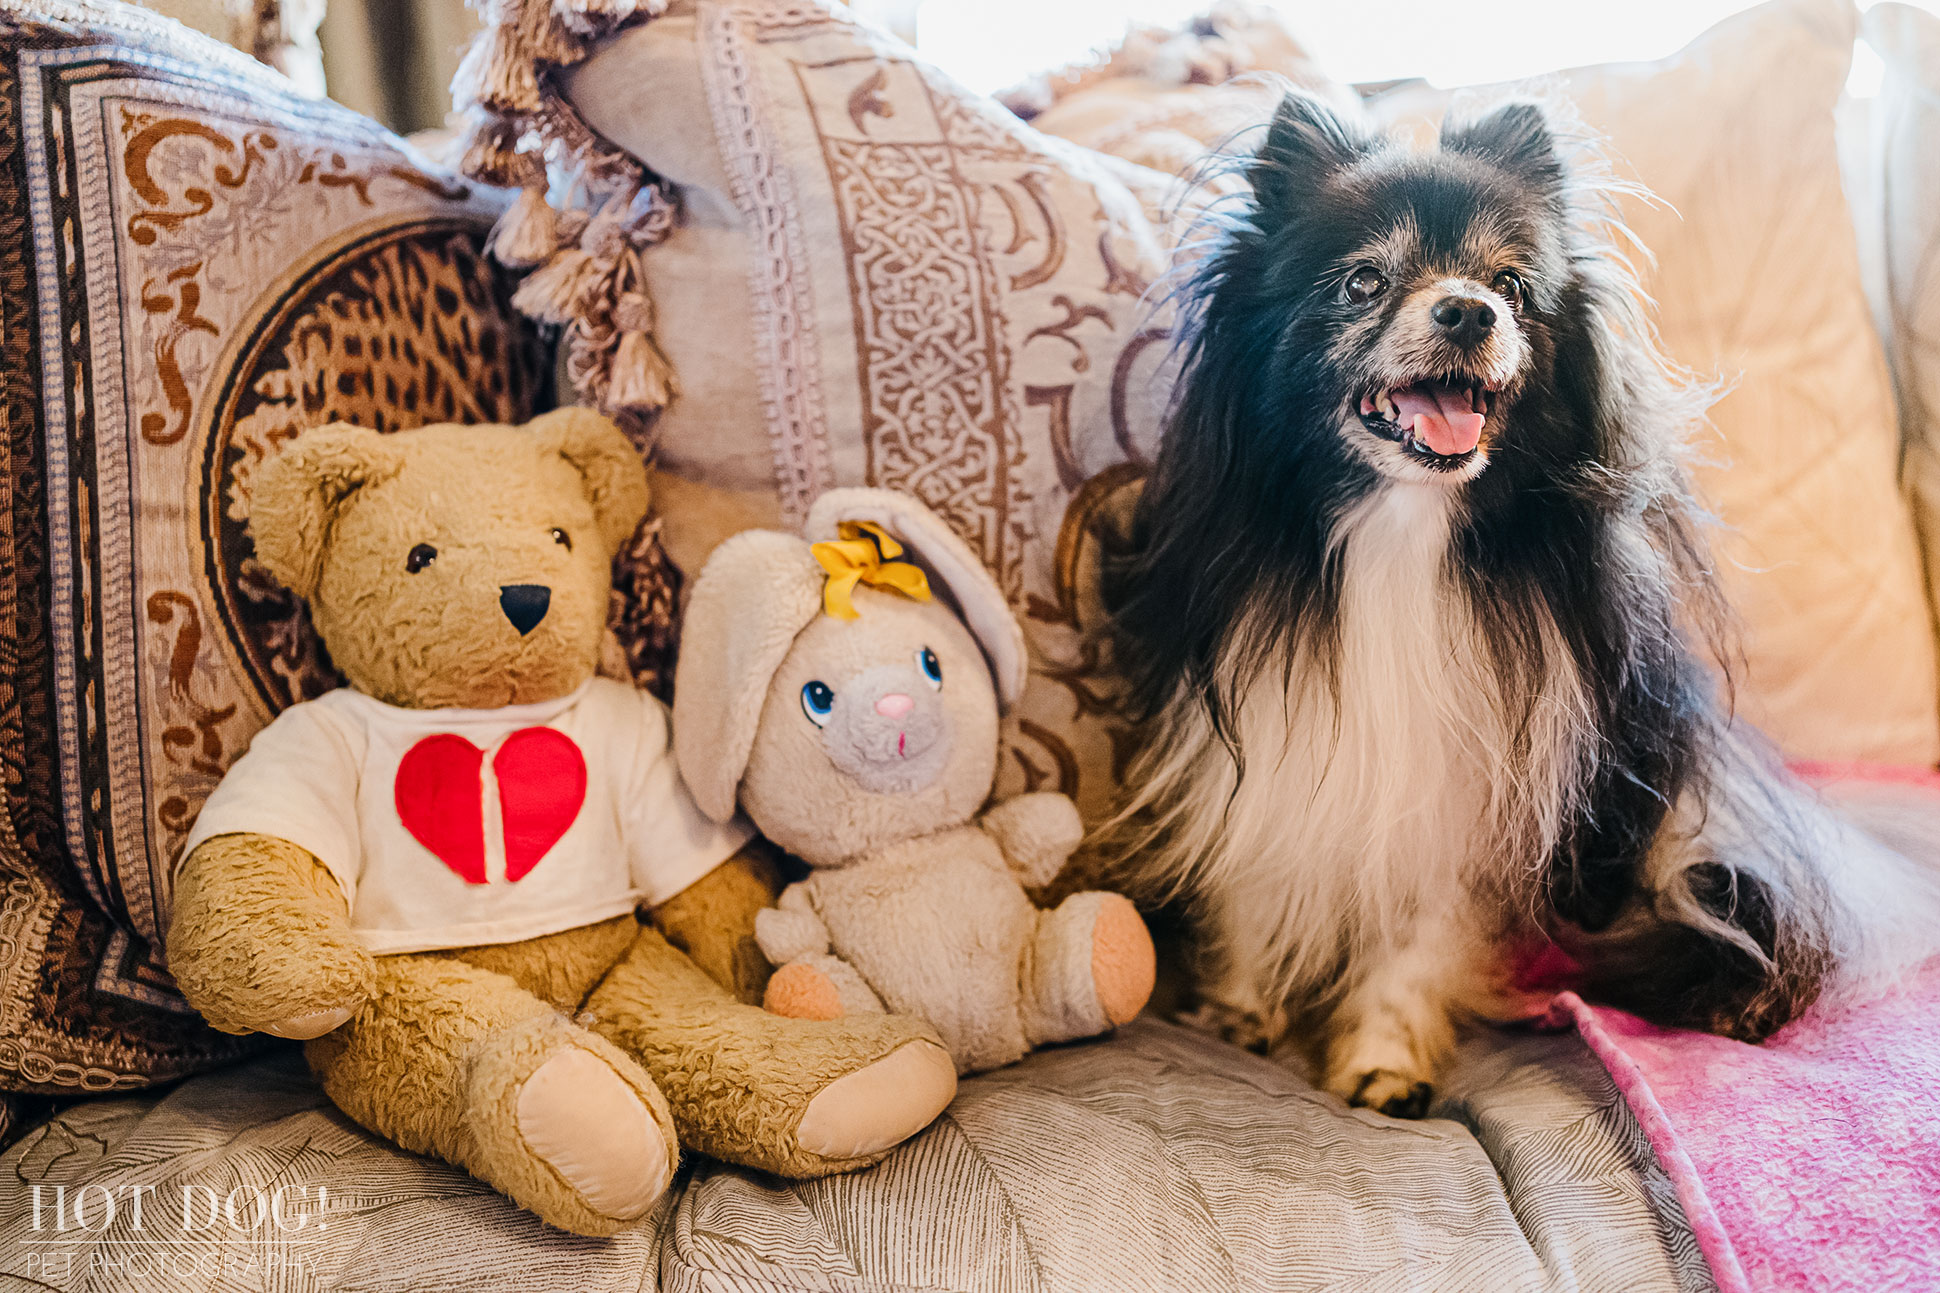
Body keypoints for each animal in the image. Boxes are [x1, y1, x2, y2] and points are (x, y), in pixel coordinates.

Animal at [1109, 93, 1940, 1118]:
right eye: (1362, 282)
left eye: (1510, 283)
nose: (1469, 308)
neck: (1403, 532)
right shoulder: (1274, 749)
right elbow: (1255, 891)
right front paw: (1237, 1014)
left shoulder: (1469, 799)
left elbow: (1417, 940)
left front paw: (1382, 1061)